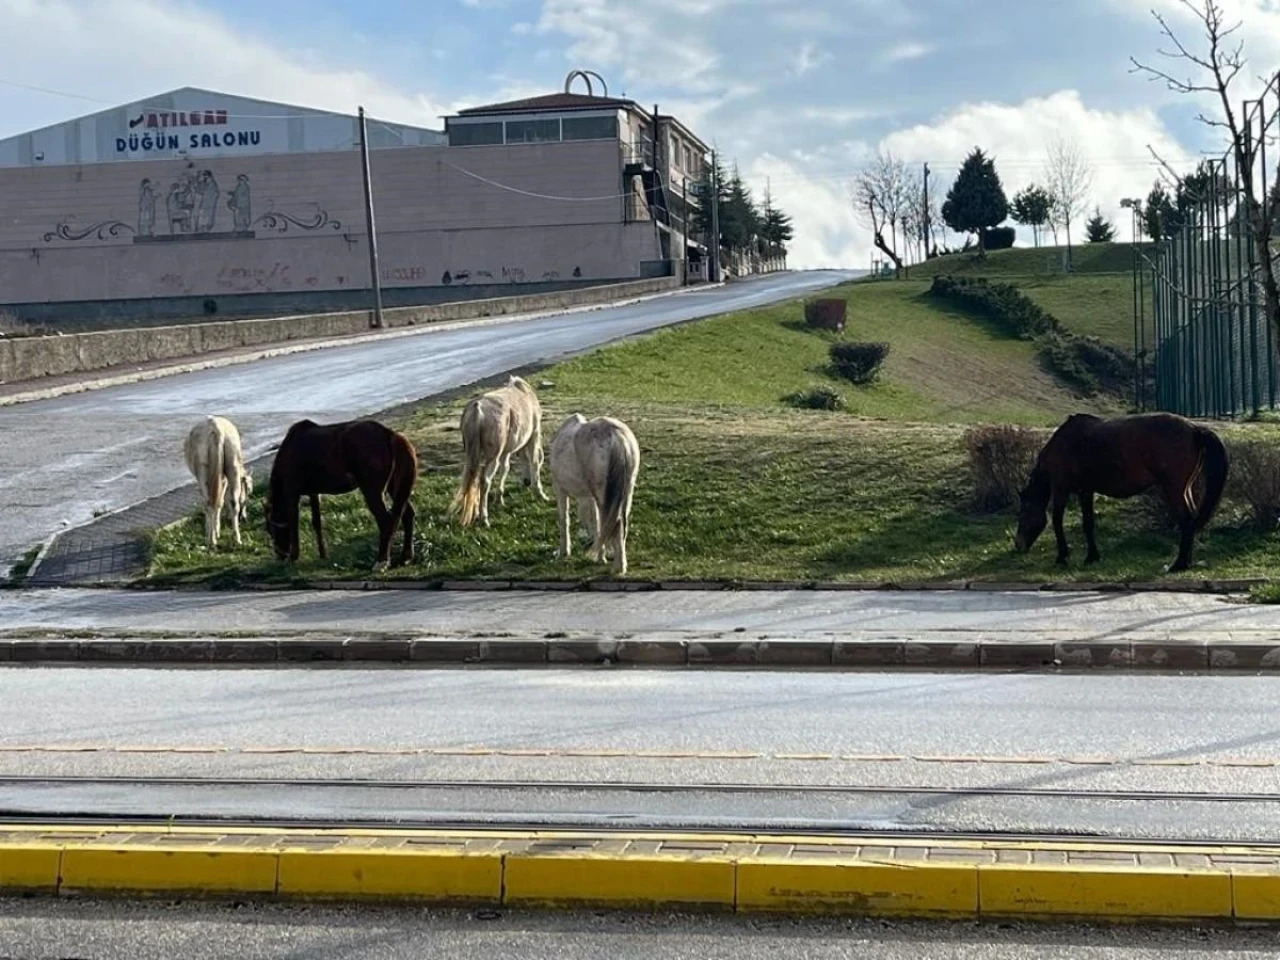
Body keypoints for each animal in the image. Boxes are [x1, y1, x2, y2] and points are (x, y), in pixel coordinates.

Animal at [183, 414, 252, 547]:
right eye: (248, 491)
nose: (245, 518)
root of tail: (216, 428)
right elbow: (220, 501)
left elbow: (217, 501)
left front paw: (213, 531)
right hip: (232, 463)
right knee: (233, 502)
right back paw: (237, 539)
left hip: (202, 470)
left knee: (208, 502)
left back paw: (211, 540)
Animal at [264, 419, 419, 570]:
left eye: (271, 531)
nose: (280, 555)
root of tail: (390, 434)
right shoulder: (313, 493)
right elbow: (317, 522)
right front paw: (323, 554)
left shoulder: (292, 493)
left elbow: (294, 524)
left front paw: (294, 557)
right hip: (395, 488)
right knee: (407, 515)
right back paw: (406, 557)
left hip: (372, 491)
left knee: (386, 522)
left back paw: (381, 561)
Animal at [450, 376, 545, 529]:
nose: (526, 482)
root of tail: (477, 412)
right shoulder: (534, 434)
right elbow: (534, 462)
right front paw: (540, 493)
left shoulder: (505, 451)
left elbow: (505, 469)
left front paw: (499, 499)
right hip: (492, 456)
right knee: (484, 480)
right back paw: (484, 518)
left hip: (473, 455)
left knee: (474, 480)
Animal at [550, 414, 640, 578]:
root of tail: (616, 435)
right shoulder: (590, 497)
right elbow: (596, 522)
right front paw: (601, 554)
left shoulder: (560, 490)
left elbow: (564, 519)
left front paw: (564, 551)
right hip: (626, 492)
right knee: (620, 525)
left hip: (603, 496)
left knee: (615, 526)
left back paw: (618, 568)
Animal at [1018, 412, 1228, 576]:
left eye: (1023, 513)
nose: (1018, 545)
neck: (1063, 443)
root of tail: (1195, 429)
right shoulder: (1085, 491)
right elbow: (1088, 523)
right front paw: (1092, 557)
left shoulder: (1061, 488)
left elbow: (1057, 521)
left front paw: (1062, 557)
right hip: (1185, 488)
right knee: (1191, 520)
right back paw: (1186, 562)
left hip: (1173, 489)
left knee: (1186, 521)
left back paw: (1179, 564)